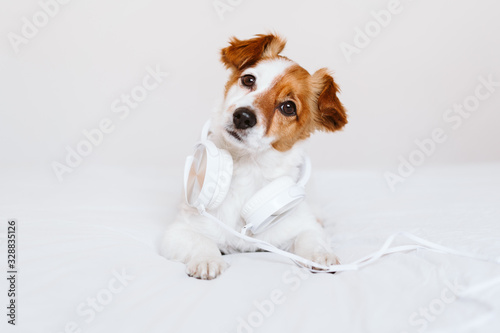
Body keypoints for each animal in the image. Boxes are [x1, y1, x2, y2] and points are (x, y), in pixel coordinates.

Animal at [161, 33, 348, 278]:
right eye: (249, 80)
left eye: (288, 107)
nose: (243, 117)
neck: (247, 167)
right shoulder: (179, 230)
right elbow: (202, 241)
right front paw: (207, 259)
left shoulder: (303, 225)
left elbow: (311, 237)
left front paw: (321, 255)